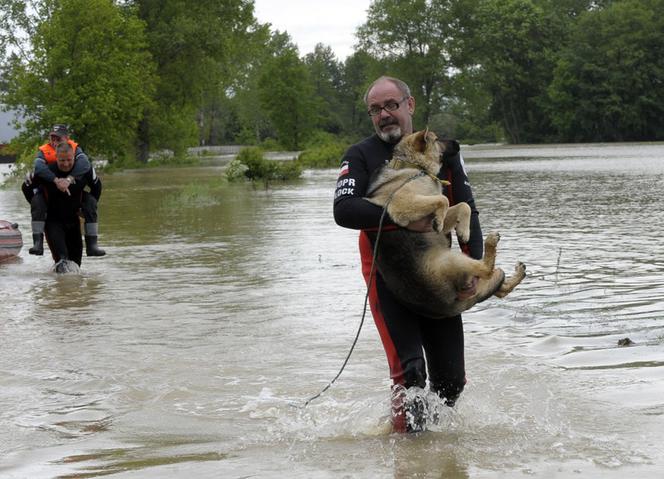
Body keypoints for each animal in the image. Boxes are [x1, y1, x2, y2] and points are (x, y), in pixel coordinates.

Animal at [364, 129, 524, 320]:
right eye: (437, 139)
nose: (458, 142)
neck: (414, 167)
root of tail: (449, 305)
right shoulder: (403, 205)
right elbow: (443, 199)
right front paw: (440, 222)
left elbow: (462, 206)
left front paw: (463, 231)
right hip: (453, 260)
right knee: (486, 270)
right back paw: (491, 241)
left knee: (499, 285)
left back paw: (519, 272)